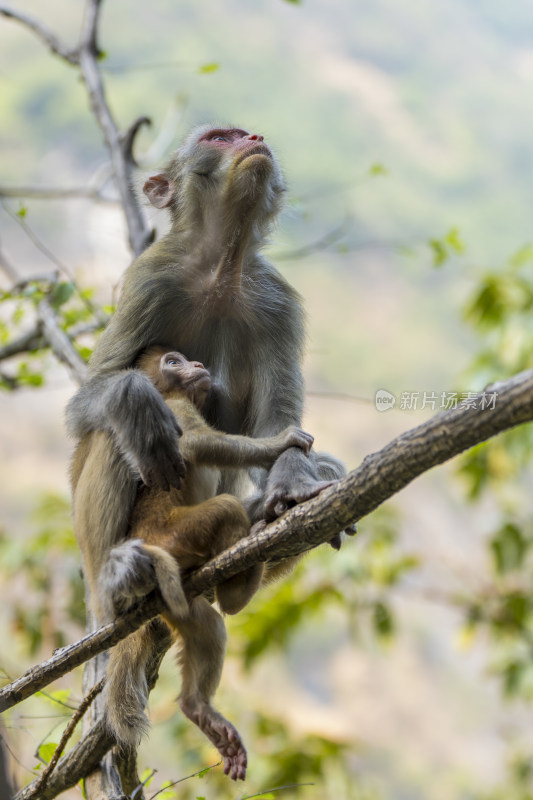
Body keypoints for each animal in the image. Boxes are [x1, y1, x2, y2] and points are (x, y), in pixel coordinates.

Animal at [66, 123, 342, 612]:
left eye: (245, 133)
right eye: (219, 137)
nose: (255, 138)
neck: (220, 268)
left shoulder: (277, 302)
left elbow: (278, 423)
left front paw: (293, 483)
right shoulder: (150, 279)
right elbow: (92, 397)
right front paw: (134, 399)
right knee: (113, 432)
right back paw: (116, 581)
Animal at [100, 346, 312, 780]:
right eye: (174, 362)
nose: (197, 366)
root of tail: (143, 542)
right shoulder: (176, 409)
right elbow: (197, 443)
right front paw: (278, 442)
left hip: (169, 597)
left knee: (208, 625)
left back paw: (198, 708)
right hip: (174, 536)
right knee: (226, 510)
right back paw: (237, 589)